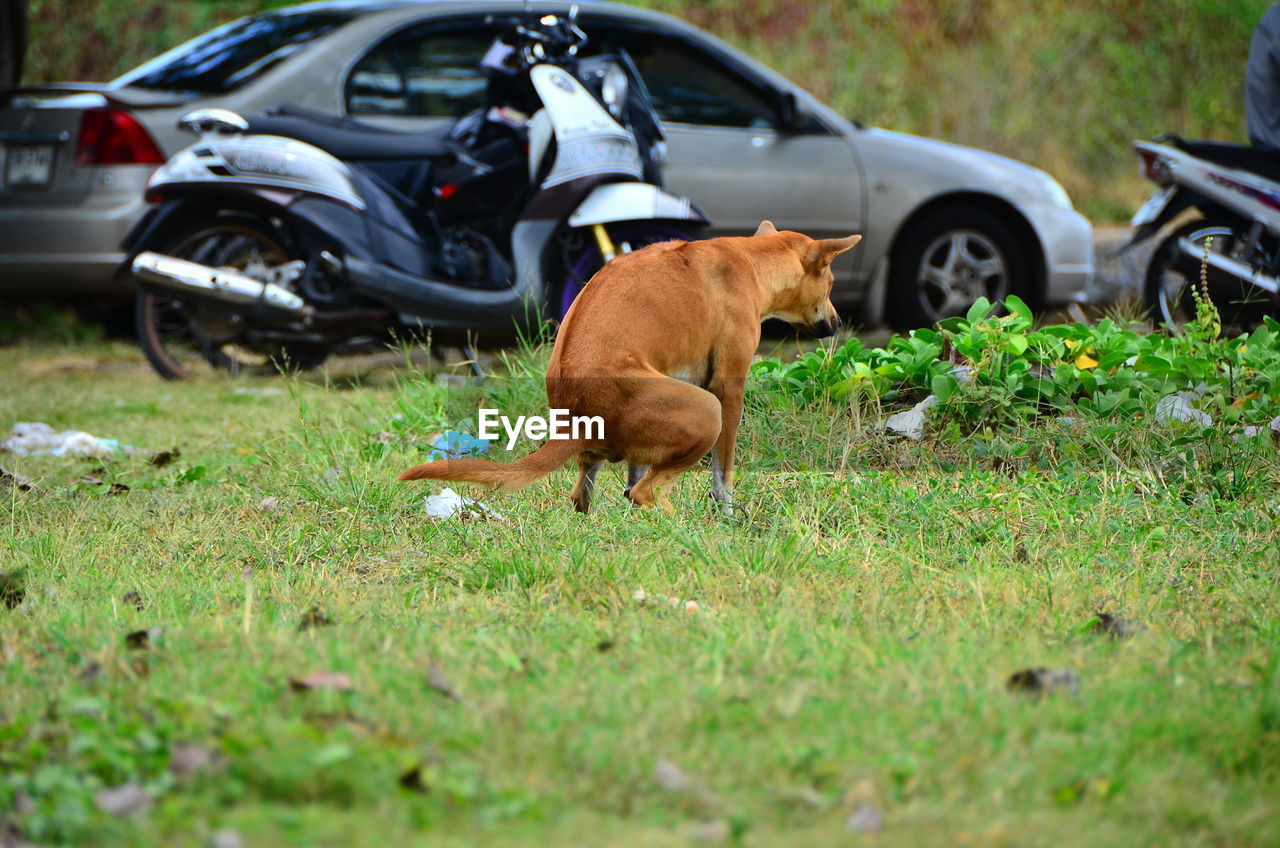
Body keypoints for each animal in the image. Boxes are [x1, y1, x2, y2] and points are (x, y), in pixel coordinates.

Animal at [399, 222, 860, 514]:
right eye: (832, 284)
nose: (839, 323)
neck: (749, 258)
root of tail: (575, 416)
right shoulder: (729, 390)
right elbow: (723, 473)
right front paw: (727, 511)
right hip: (706, 411)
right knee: (644, 492)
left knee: (591, 493)